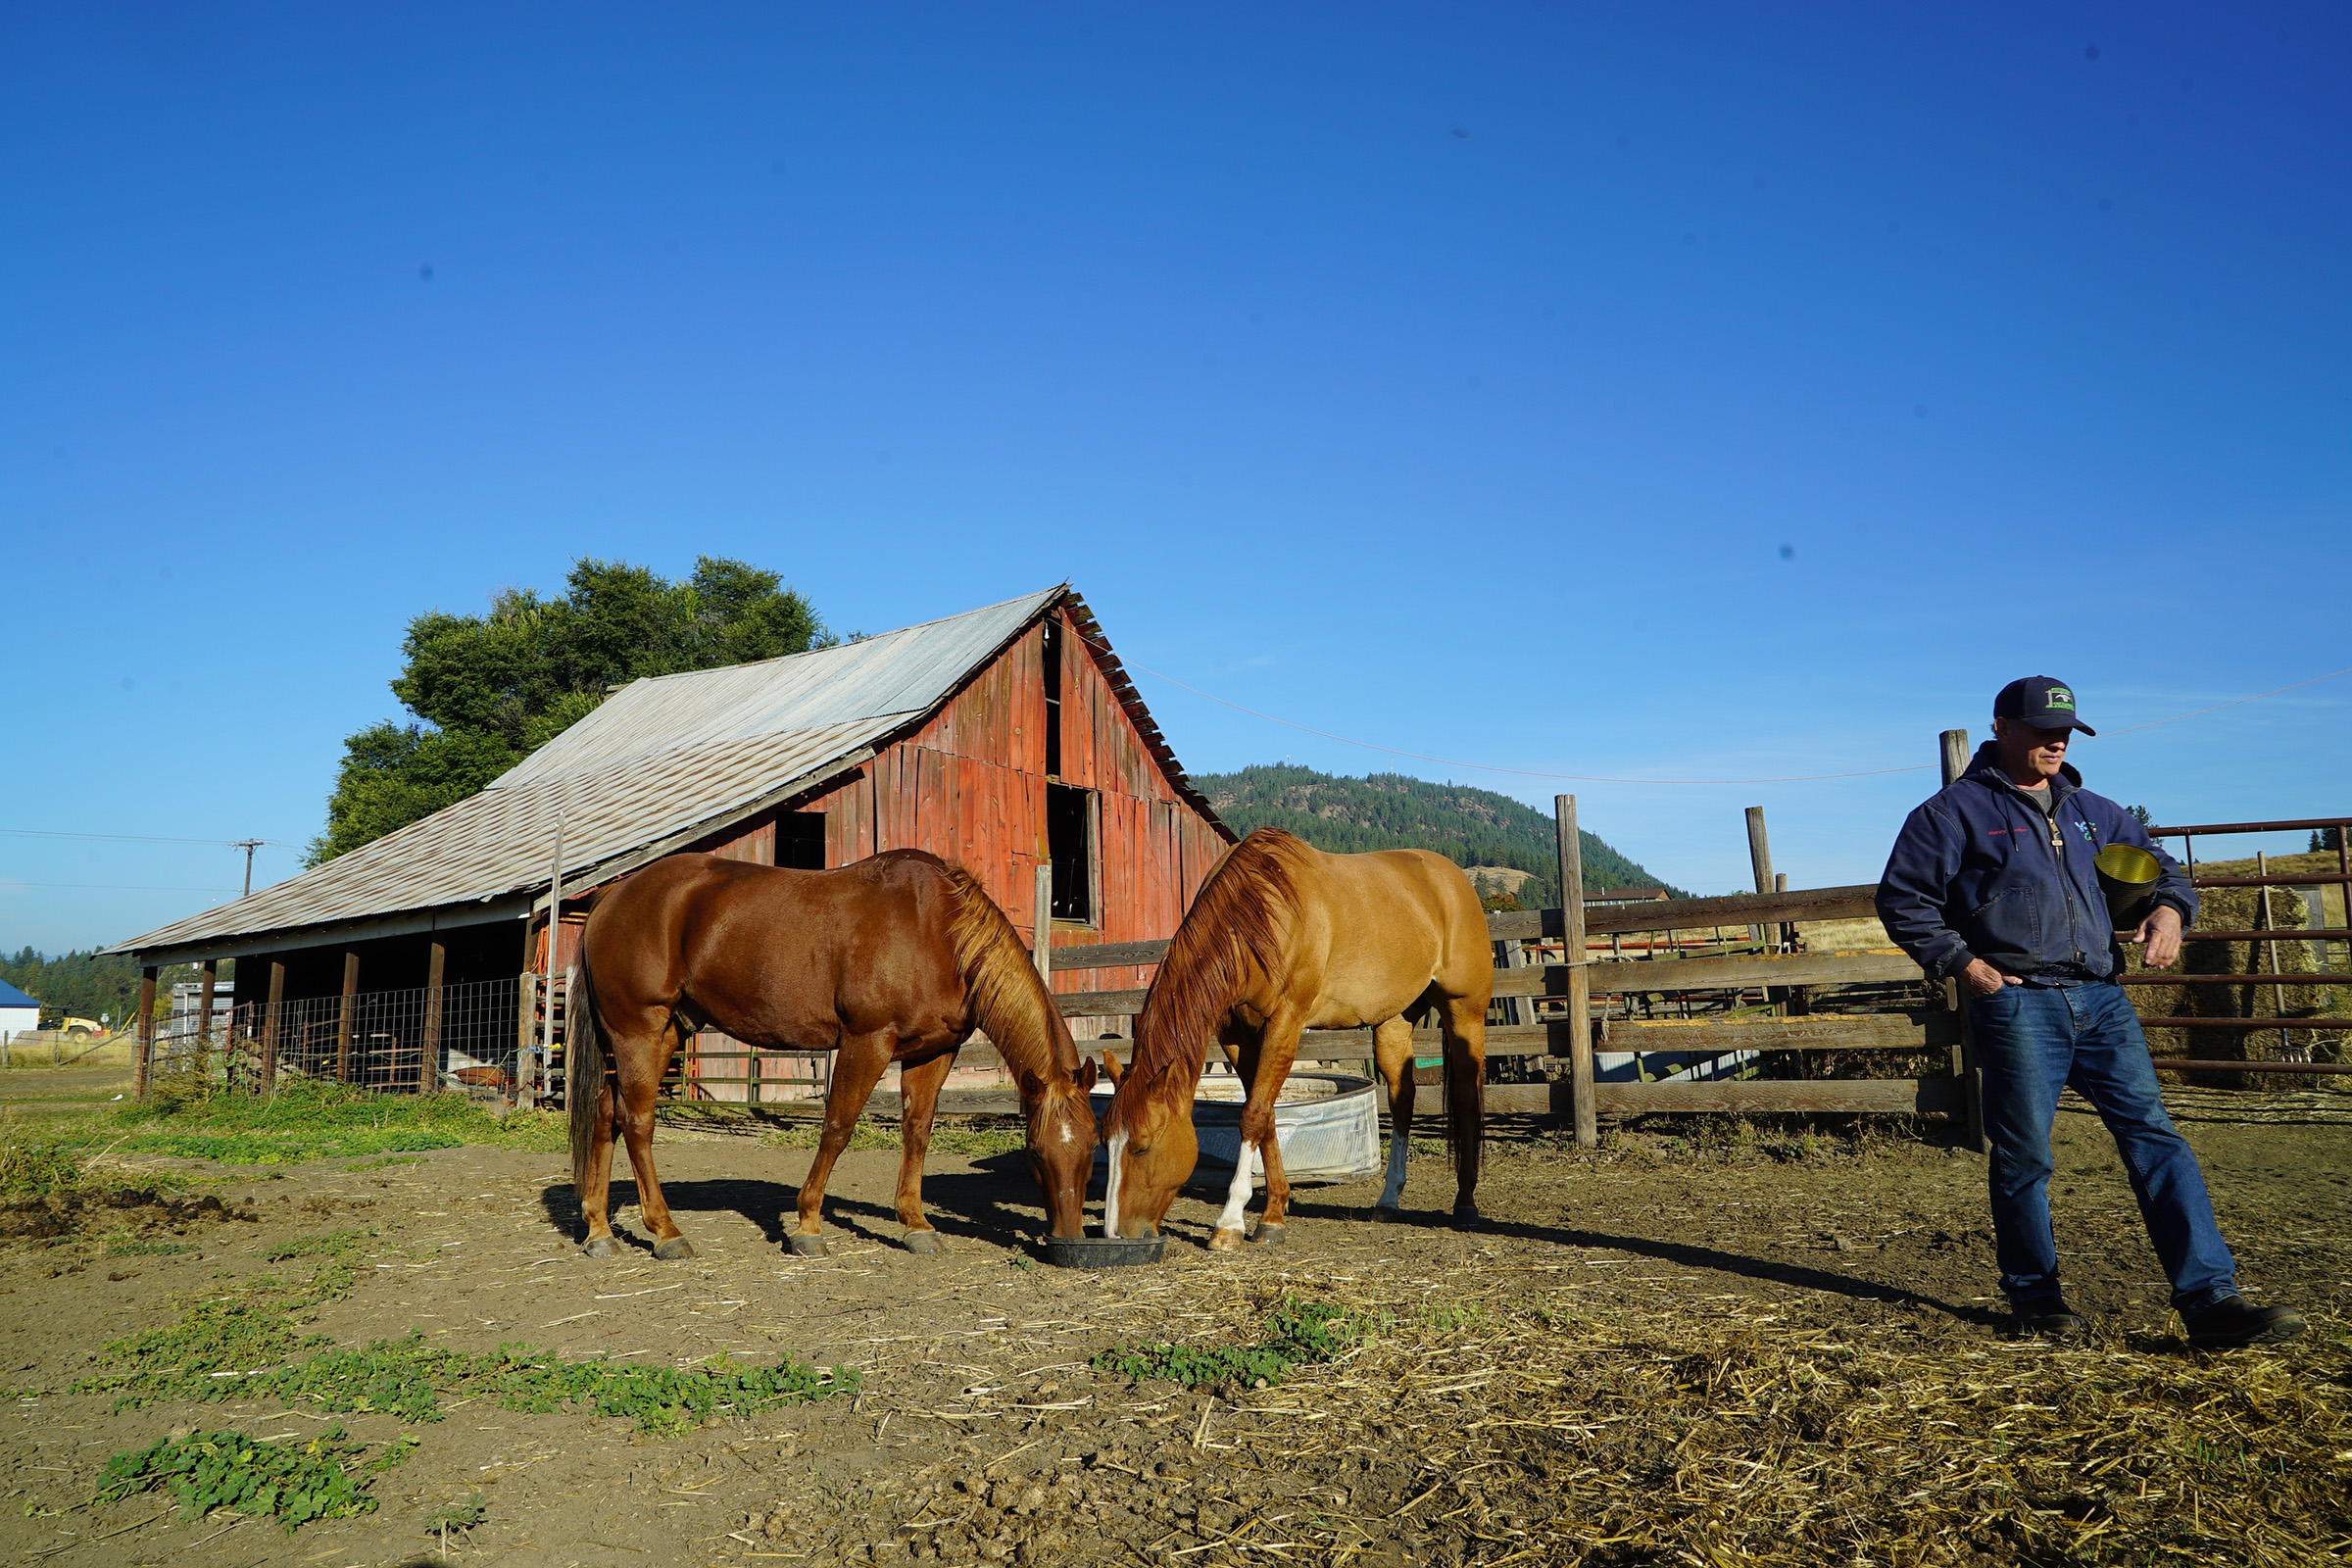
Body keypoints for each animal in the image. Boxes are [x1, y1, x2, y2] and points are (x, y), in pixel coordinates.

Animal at [566, 849, 1098, 1260]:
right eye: (1033, 1151)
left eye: (1094, 1146)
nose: (1069, 1236)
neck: (935, 928)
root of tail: (610, 899)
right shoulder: (867, 1041)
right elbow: (838, 1128)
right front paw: (807, 1227)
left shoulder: (935, 1052)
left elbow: (917, 1131)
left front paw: (916, 1224)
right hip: (638, 1031)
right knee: (637, 1122)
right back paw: (666, 1232)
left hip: (665, 1033)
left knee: (607, 1112)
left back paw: (599, 1231)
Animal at [1101, 828, 1493, 1249]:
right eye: (1105, 1141)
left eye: (1142, 1146)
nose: (1115, 1234)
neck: (1260, 913)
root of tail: (1453, 880)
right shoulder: (1235, 1035)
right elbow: (1265, 1115)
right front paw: (1274, 1212)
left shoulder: (1285, 1022)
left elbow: (1253, 1115)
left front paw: (1230, 1222)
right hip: (1394, 1021)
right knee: (1402, 1099)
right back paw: (1388, 1200)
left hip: (1464, 1013)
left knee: (1467, 1097)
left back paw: (1465, 1202)